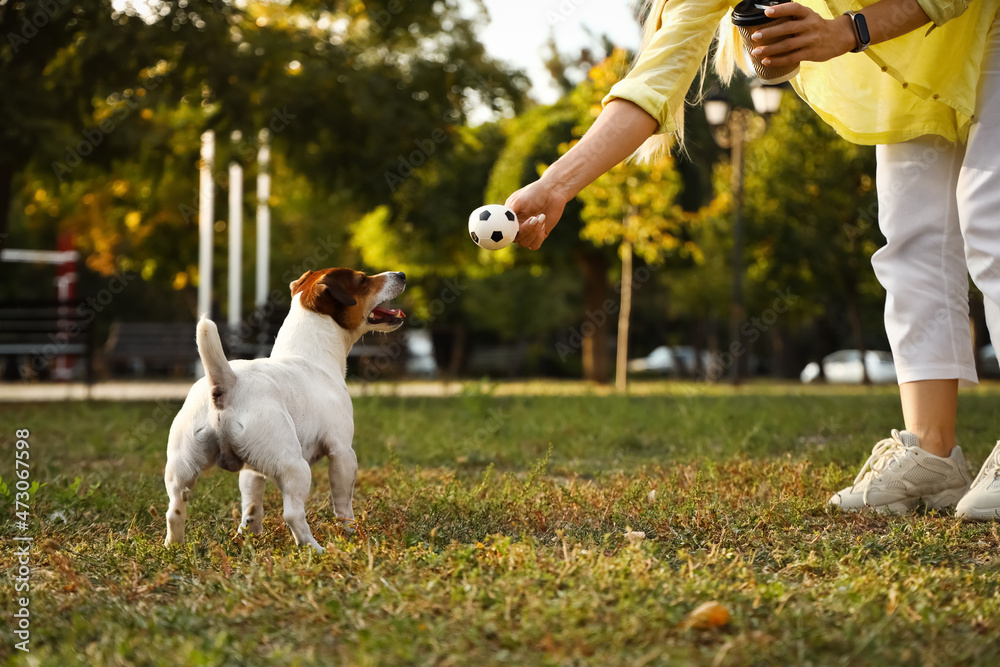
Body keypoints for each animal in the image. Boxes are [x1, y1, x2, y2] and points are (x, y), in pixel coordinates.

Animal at [162, 268, 404, 552]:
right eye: (363, 279)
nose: (401, 274)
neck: (311, 354)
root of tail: (228, 383)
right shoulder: (343, 452)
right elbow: (343, 505)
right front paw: (353, 533)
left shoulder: (252, 470)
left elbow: (252, 506)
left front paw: (249, 536)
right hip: (295, 467)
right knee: (292, 514)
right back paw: (315, 549)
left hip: (181, 469)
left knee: (174, 510)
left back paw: (174, 548)